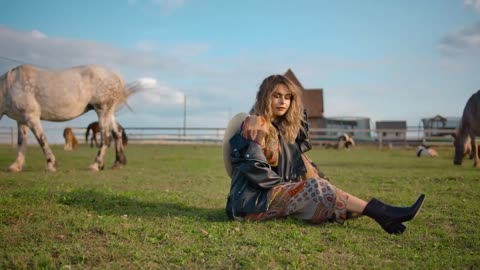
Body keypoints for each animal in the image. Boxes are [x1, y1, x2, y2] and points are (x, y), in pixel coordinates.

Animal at [0, 64, 142, 172]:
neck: (10, 86)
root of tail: (115, 76)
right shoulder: (21, 120)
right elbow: (21, 142)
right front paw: (16, 166)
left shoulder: (31, 117)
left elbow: (41, 140)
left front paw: (51, 164)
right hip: (108, 113)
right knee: (117, 133)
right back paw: (118, 163)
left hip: (102, 110)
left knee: (106, 138)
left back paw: (96, 165)